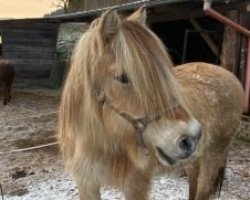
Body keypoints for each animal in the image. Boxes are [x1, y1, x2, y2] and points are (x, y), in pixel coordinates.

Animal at [58, 6, 242, 200]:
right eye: (122, 78)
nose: (191, 136)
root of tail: (229, 75)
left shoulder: (136, 186)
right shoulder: (86, 184)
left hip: (213, 155)